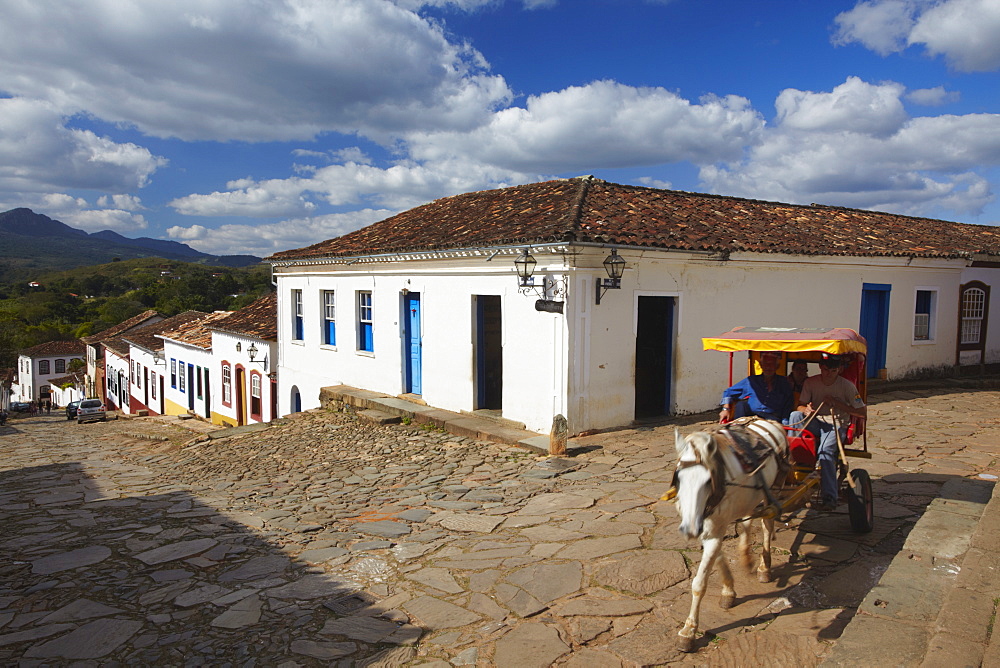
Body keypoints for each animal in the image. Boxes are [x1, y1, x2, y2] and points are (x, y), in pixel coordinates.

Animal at [672, 418, 788, 652]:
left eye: (708, 481)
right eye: (678, 477)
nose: (689, 529)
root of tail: (769, 421)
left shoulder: (714, 529)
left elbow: (699, 583)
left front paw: (688, 631)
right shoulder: (709, 527)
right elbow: (718, 558)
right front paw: (728, 591)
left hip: (772, 491)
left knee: (767, 525)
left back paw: (764, 567)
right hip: (751, 497)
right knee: (748, 521)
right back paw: (746, 554)